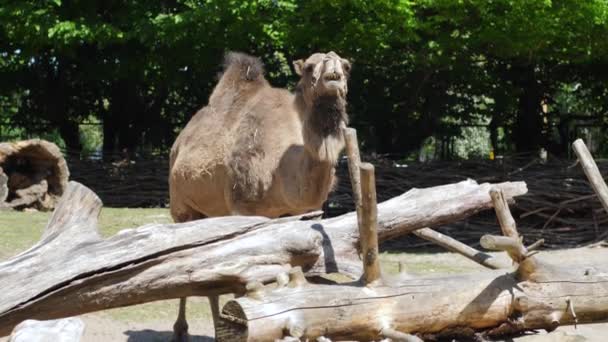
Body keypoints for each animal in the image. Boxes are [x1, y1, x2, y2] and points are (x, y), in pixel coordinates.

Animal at [170, 50, 352, 340]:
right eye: (310, 66)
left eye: (346, 66)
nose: (333, 72)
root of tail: (179, 142)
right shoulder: (244, 207)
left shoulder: (305, 213)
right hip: (181, 207)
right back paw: (180, 330)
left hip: (213, 213)